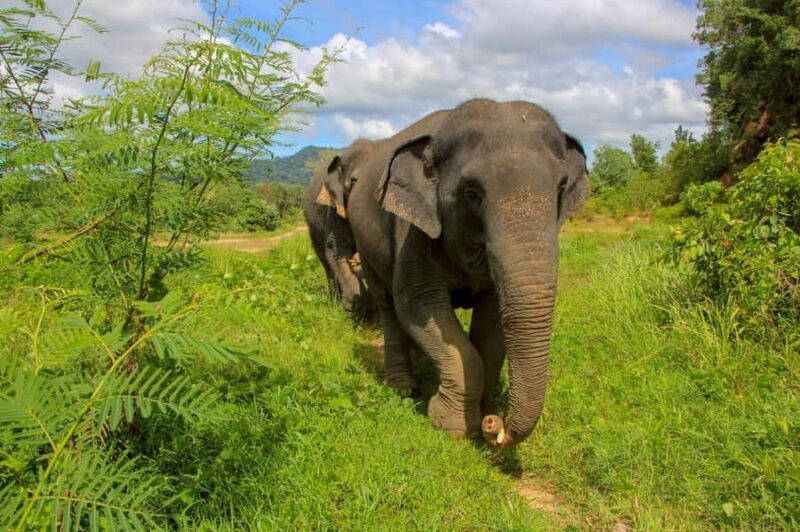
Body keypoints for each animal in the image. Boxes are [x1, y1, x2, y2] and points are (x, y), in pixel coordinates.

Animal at [332, 99, 589, 447]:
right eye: (471, 193)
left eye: (561, 187)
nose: (498, 426)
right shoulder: (413, 232)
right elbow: (418, 305)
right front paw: (453, 426)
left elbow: (491, 324)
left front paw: (482, 415)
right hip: (367, 244)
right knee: (389, 305)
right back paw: (403, 387)